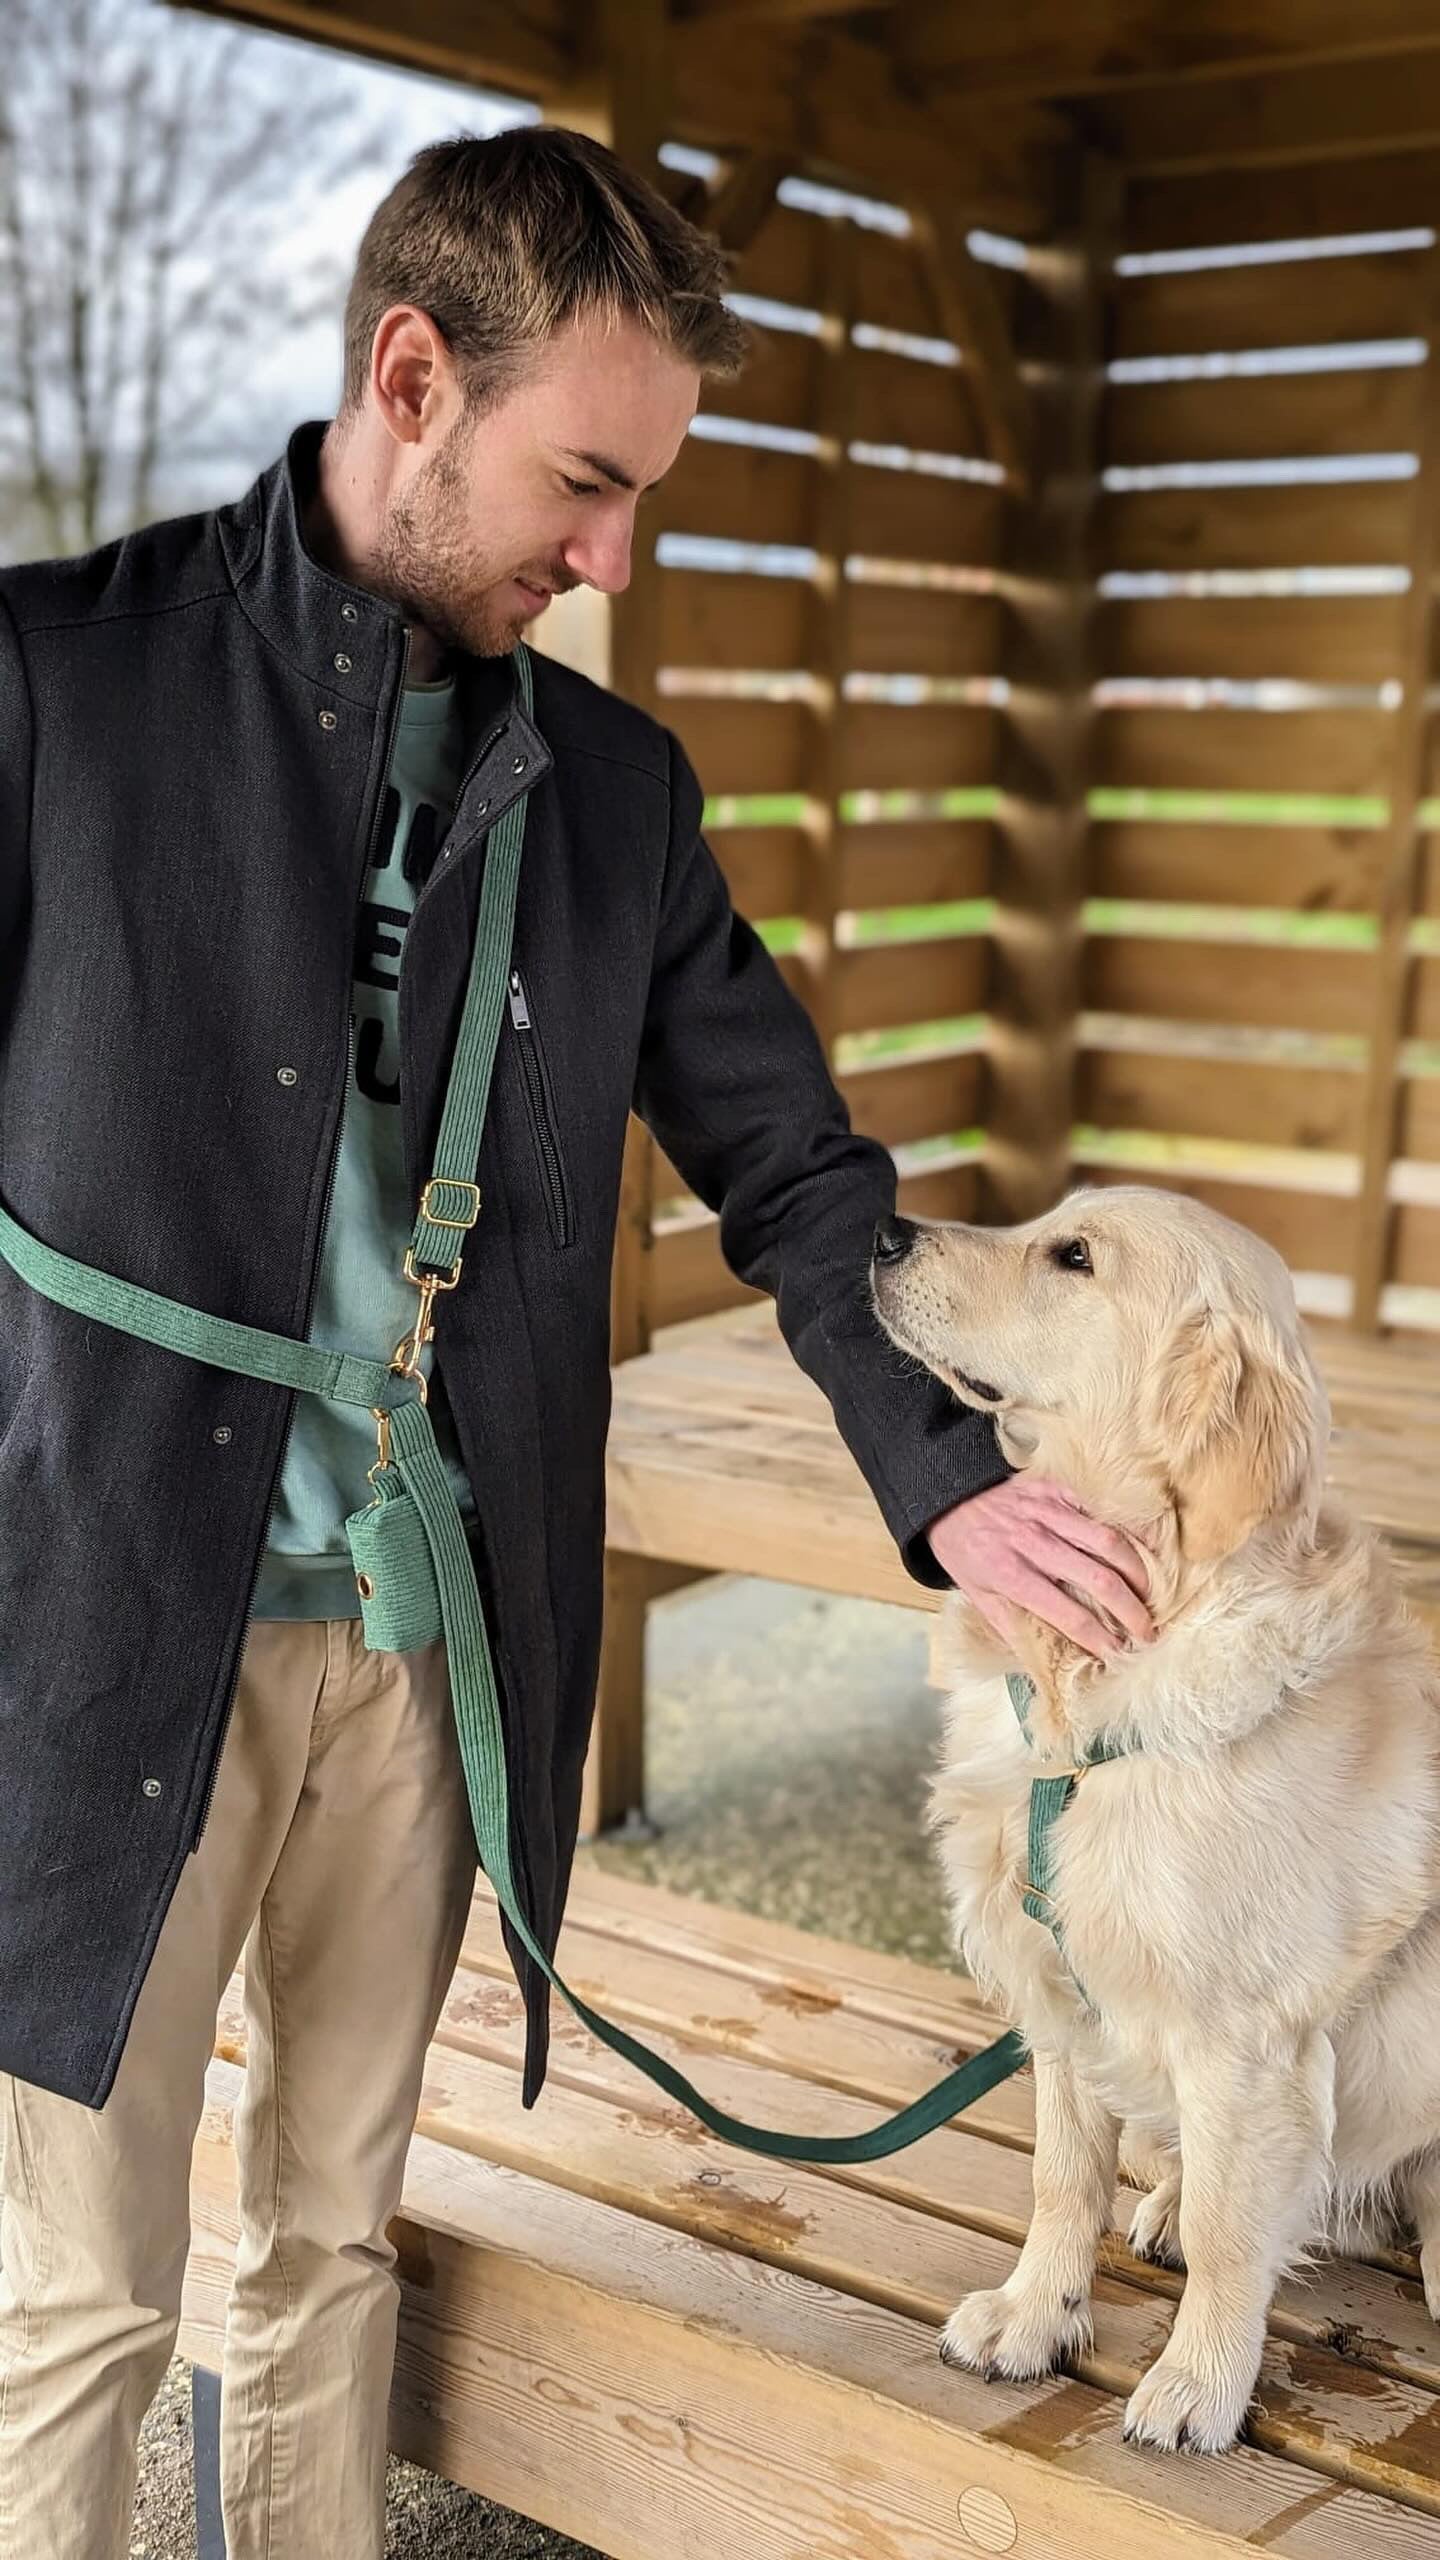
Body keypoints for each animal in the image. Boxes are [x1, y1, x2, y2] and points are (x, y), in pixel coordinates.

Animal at [860, 1187, 1434, 2447]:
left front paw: (1199, 2383)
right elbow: (1063, 2176)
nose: (882, 1231)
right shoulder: (1064, 1989)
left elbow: (1232, 2231)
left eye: (1073, 1255)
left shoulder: (1246, 2033)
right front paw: (1036, 2315)